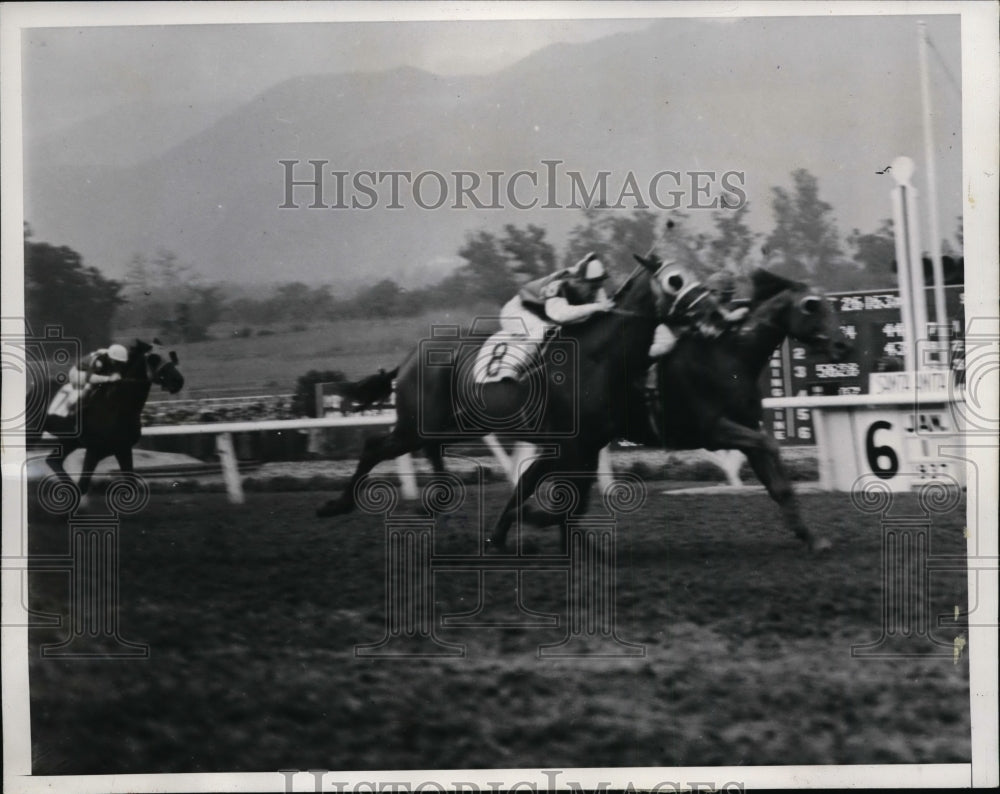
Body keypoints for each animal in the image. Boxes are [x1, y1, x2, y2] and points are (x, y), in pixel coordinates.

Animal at [32, 338, 185, 498]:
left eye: (171, 356)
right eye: (154, 359)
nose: (178, 380)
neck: (116, 407)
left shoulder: (123, 449)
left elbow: (131, 485)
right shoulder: (93, 451)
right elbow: (83, 486)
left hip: (70, 441)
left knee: (53, 460)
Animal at [316, 252, 724, 552]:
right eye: (674, 280)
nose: (716, 313)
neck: (597, 357)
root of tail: (407, 360)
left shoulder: (582, 444)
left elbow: (550, 490)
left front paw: (514, 534)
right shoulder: (572, 444)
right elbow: (561, 496)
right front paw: (535, 523)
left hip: (446, 425)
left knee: (429, 455)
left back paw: (437, 503)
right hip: (416, 426)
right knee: (374, 445)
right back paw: (336, 505)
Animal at [652, 268, 848, 552]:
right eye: (811, 305)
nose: (843, 345)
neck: (727, 356)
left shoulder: (745, 428)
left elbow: (778, 486)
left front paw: (812, 539)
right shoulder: (713, 429)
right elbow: (771, 446)